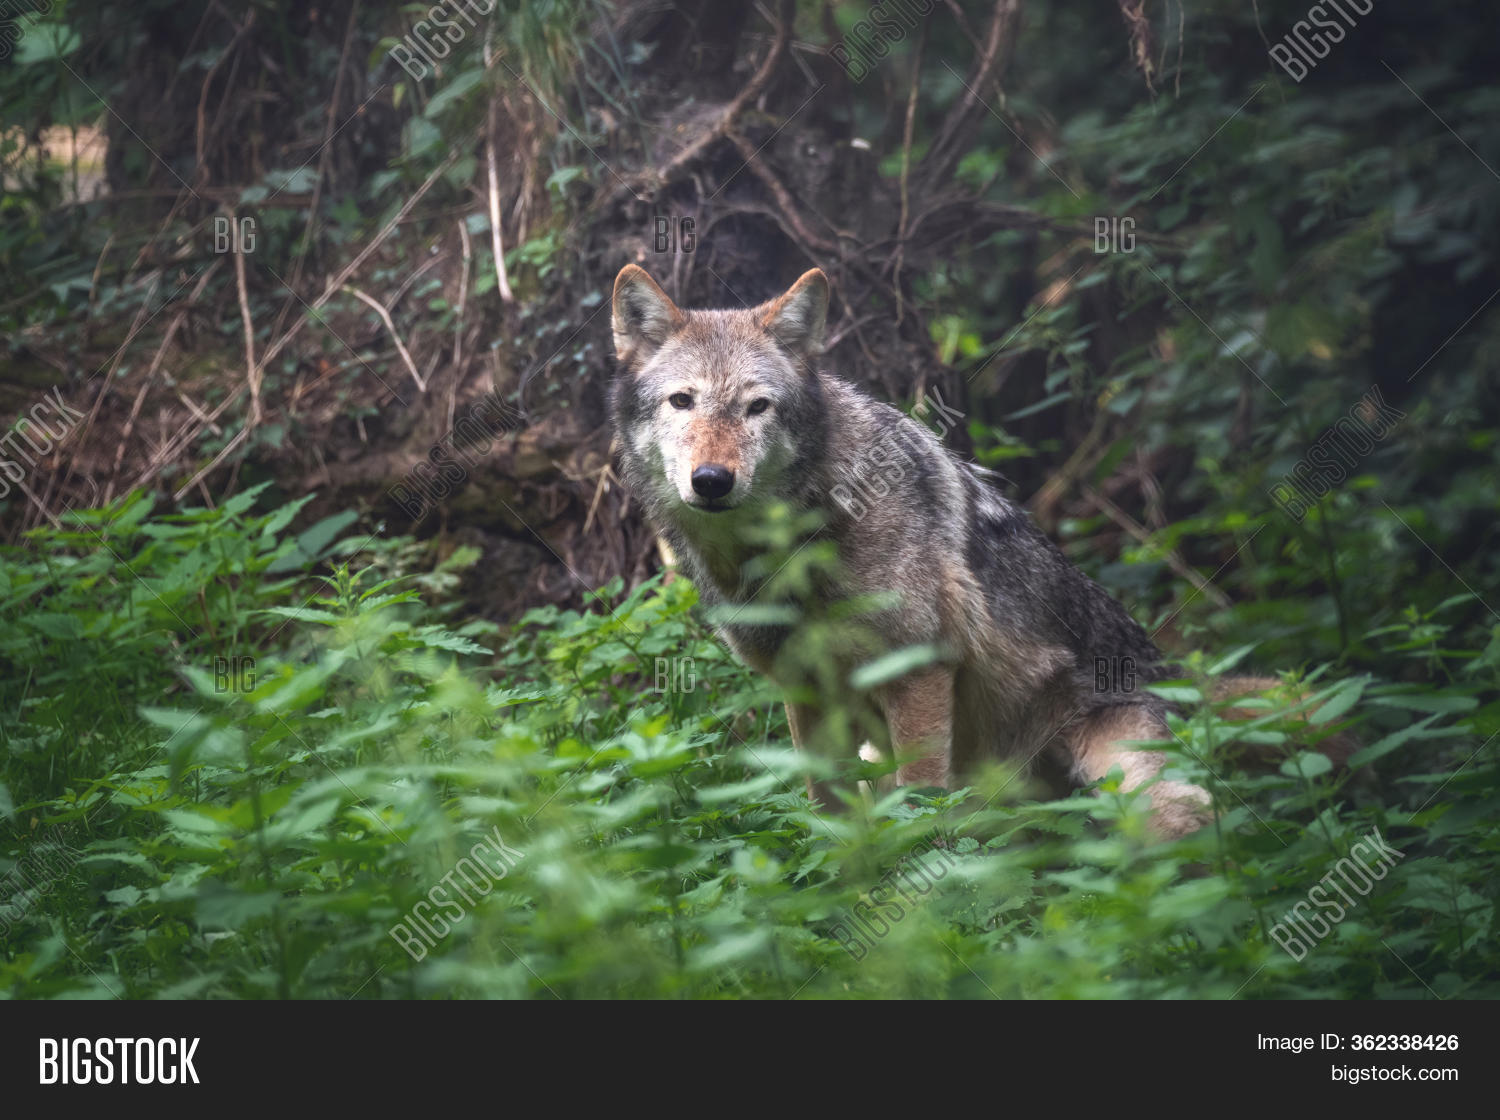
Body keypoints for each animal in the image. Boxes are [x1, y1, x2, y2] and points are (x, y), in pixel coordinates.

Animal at [610, 263, 1339, 838]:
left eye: (757, 408)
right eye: (683, 402)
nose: (712, 480)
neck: (793, 545)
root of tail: (1179, 677)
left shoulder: (916, 673)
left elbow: (918, 806)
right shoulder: (807, 692)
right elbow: (829, 817)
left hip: (1134, 788)